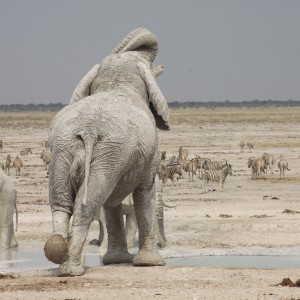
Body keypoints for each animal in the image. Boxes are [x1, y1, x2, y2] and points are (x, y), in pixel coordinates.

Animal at [44, 28, 171, 276]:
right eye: (147, 63)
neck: (117, 78)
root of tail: (88, 129)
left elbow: (112, 201)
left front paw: (116, 260)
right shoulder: (149, 151)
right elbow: (144, 192)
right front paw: (150, 263)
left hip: (64, 150)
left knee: (61, 202)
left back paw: (61, 259)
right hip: (108, 152)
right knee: (88, 203)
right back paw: (72, 270)